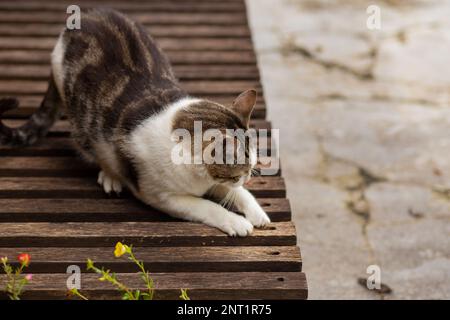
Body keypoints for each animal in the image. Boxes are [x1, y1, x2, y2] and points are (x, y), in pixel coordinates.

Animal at [0, 8, 268, 236]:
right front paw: (236, 222)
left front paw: (257, 212)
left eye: (250, 166)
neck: (199, 178)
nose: (249, 176)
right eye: (240, 171)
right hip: (78, 110)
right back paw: (111, 175)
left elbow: (239, 194)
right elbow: (206, 206)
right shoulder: (159, 195)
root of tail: (89, 14)